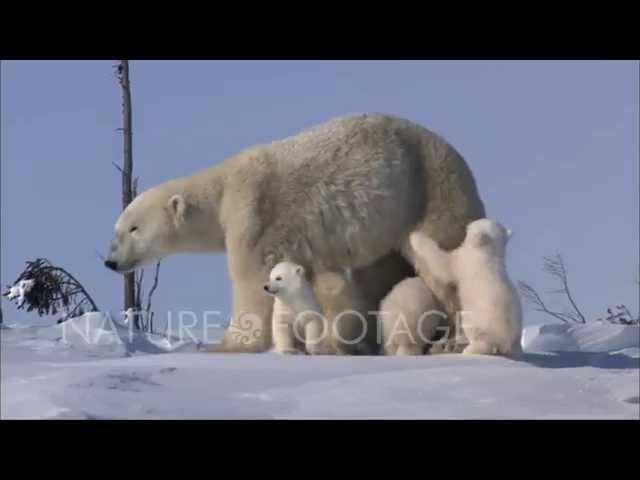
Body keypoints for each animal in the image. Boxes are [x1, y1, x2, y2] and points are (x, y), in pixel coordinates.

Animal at [104, 112, 484, 352]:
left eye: (132, 228)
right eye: (117, 229)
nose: (110, 261)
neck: (223, 189)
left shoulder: (255, 215)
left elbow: (251, 279)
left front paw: (227, 345)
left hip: (431, 190)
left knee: (444, 262)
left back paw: (453, 339)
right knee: (384, 272)